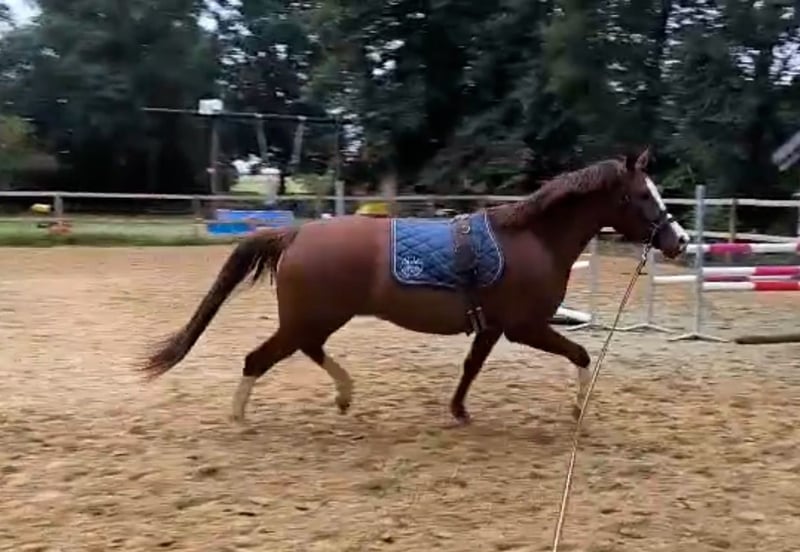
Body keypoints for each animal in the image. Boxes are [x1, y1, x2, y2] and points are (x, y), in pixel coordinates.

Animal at [140, 148, 689, 425]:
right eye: (643, 195)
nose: (679, 239)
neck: (531, 239)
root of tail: (295, 234)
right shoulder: (526, 327)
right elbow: (581, 354)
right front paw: (578, 407)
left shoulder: (492, 328)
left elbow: (471, 368)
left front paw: (459, 410)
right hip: (308, 318)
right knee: (259, 358)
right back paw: (241, 417)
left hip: (315, 318)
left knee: (307, 350)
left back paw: (344, 396)